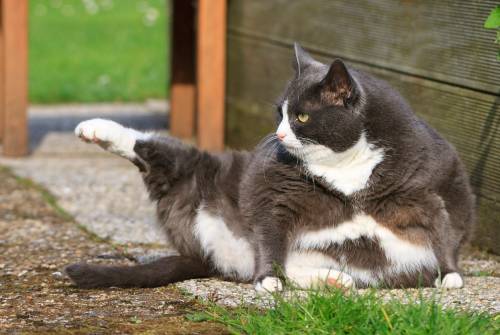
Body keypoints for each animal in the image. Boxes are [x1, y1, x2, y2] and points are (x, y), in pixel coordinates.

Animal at [64, 43, 474, 292]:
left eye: (301, 116)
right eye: (280, 113)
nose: (277, 135)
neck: (347, 170)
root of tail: (211, 255)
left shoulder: (432, 187)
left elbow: (444, 227)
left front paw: (451, 275)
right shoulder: (274, 192)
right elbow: (270, 230)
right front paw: (267, 282)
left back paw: (334, 281)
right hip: (195, 171)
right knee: (155, 152)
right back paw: (93, 129)